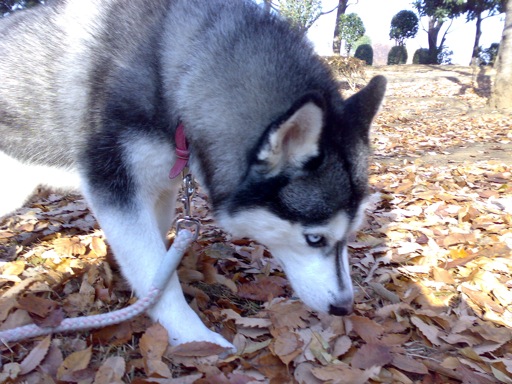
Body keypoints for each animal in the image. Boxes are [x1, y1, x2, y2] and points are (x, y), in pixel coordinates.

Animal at [0, 0, 384, 350]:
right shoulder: (115, 187)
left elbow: (157, 259)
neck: (176, 72)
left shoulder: (161, 185)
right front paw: (192, 334)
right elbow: (152, 265)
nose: (344, 308)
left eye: (350, 233)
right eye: (315, 239)